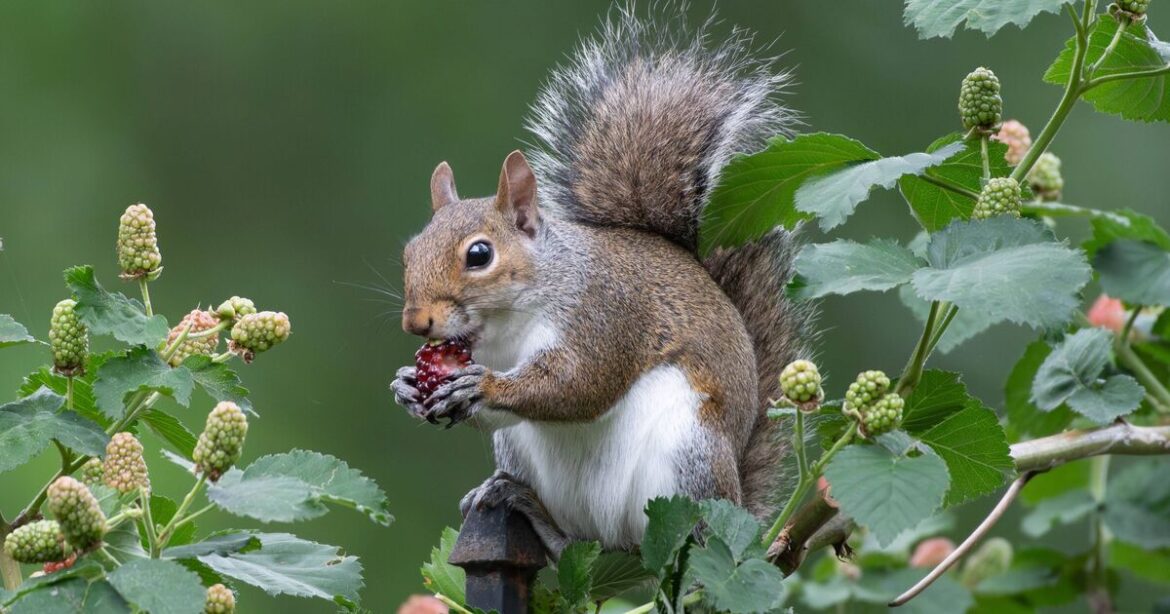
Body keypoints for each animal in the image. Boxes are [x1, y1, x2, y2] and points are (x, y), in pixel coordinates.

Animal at [392, 7, 811, 558]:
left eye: (479, 255)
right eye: (408, 252)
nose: (416, 323)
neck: (508, 327)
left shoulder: (605, 315)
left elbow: (579, 385)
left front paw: (482, 384)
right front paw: (406, 385)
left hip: (688, 456)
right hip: (529, 461)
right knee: (569, 546)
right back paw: (518, 501)